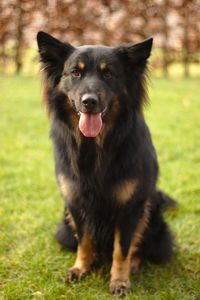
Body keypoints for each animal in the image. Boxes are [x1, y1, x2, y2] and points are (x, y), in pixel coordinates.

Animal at [37, 31, 175, 296]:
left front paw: (119, 280)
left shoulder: (130, 209)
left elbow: (122, 249)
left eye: (108, 73)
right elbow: (84, 241)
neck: (95, 147)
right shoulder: (76, 204)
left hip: (152, 217)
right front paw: (81, 268)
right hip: (64, 229)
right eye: (75, 72)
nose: (89, 101)